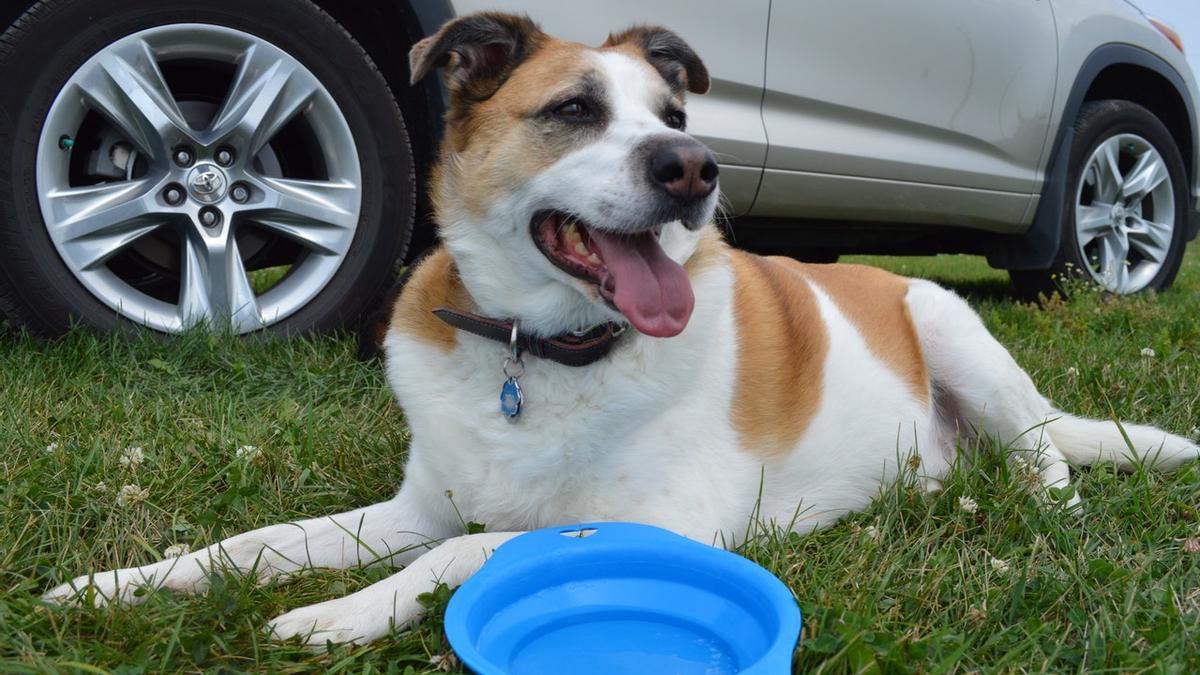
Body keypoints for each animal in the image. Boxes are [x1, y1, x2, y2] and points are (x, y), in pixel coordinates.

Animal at [44, 13, 1200, 648]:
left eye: (675, 119)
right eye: (573, 112)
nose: (696, 171)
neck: (536, 354)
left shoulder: (670, 520)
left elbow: (475, 551)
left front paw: (338, 615)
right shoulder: (413, 507)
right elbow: (254, 544)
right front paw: (117, 584)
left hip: (951, 327)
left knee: (1048, 455)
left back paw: (1052, 513)